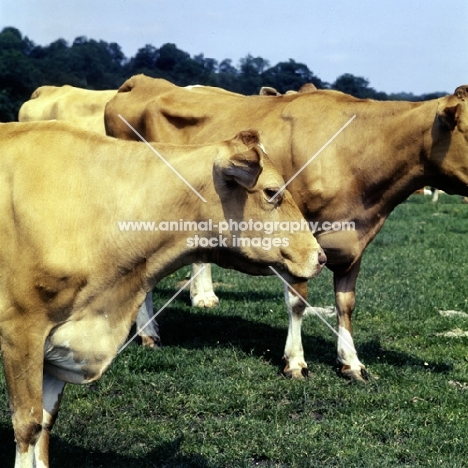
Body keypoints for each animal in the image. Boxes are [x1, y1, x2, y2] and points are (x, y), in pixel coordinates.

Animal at [0, 121, 326, 468]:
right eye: (271, 191)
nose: (320, 256)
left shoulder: (62, 341)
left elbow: (46, 421)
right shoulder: (21, 332)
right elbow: (28, 424)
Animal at [104, 77, 468, 382]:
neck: (355, 152)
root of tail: (140, 81)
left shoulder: (355, 242)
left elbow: (345, 303)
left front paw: (351, 362)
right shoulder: (298, 242)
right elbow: (297, 301)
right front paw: (295, 361)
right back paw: (149, 332)